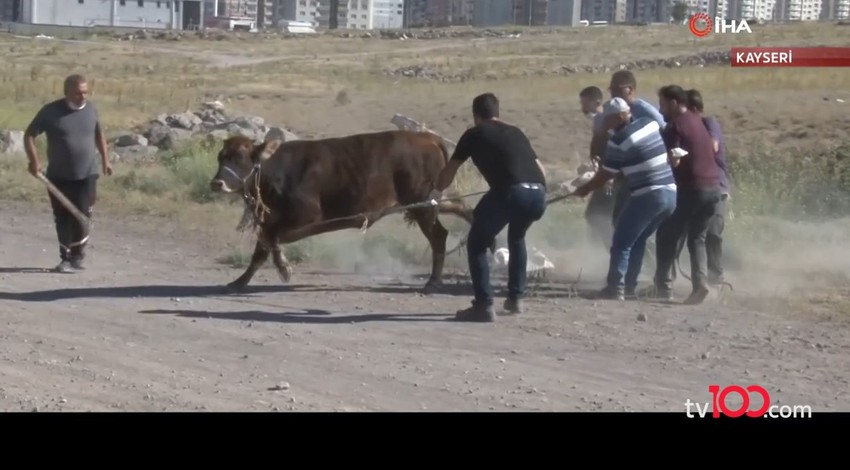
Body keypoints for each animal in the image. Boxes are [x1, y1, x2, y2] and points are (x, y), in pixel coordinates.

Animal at [210, 129, 476, 290]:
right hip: (431, 201)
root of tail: (425, 136)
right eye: (220, 157)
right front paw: (239, 282)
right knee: (461, 208)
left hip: (423, 206)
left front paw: (284, 269)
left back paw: (433, 281)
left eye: (240, 158)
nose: (217, 183)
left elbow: (271, 239)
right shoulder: (269, 220)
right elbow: (261, 249)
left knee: (439, 236)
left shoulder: (307, 215)